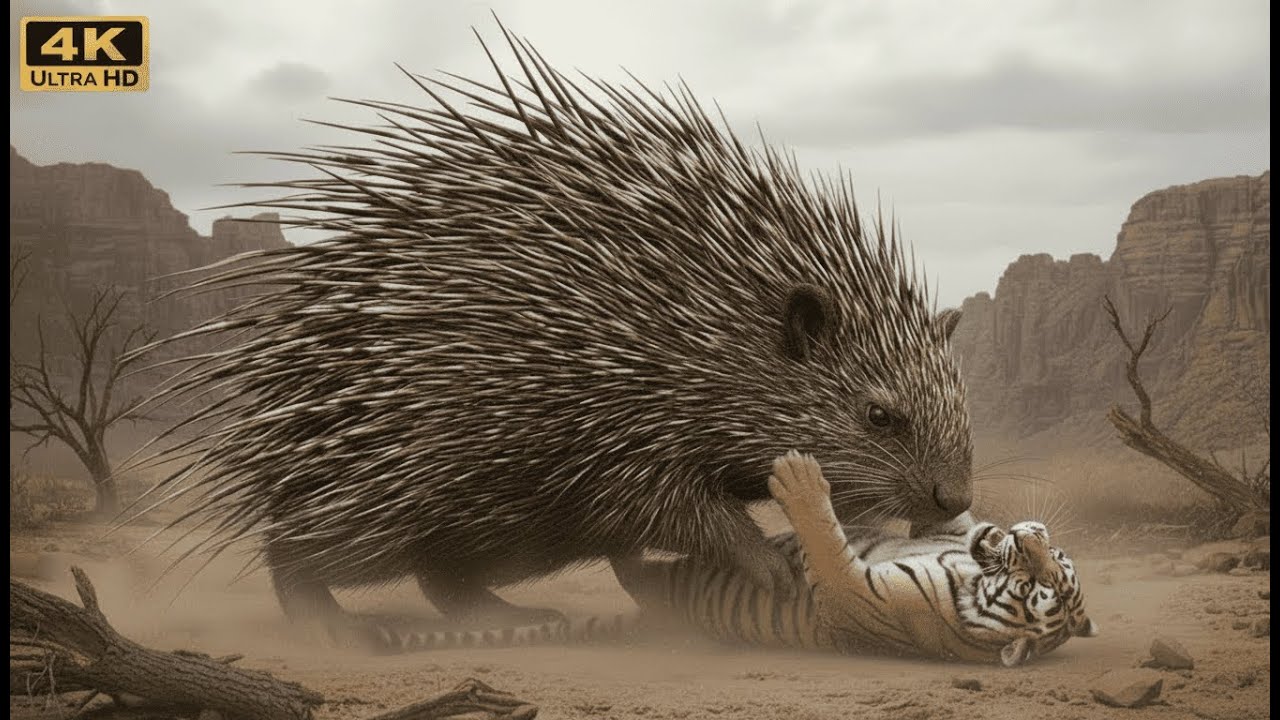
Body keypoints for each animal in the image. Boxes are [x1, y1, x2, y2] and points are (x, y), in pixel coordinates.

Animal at [367, 452, 1097, 666]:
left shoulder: (853, 594)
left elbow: (828, 545)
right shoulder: (952, 531)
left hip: (665, 585)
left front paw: (800, 480)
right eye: (1052, 564)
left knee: (633, 565)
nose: (1029, 538)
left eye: (1041, 586)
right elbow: (954, 516)